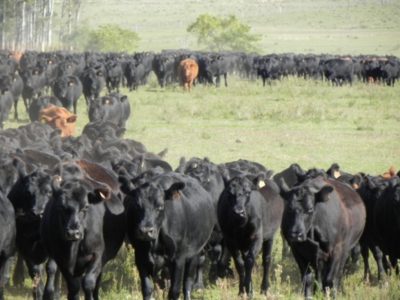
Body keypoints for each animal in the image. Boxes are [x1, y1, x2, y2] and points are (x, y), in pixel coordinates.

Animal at [119, 171, 216, 300]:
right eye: (137, 206)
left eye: (160, 206)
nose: (145, 231)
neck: (154, 245)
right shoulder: (140, 258)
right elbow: (147, 290)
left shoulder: (179, 259)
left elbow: (174, 291)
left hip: (195, 252)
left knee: (188, 283)